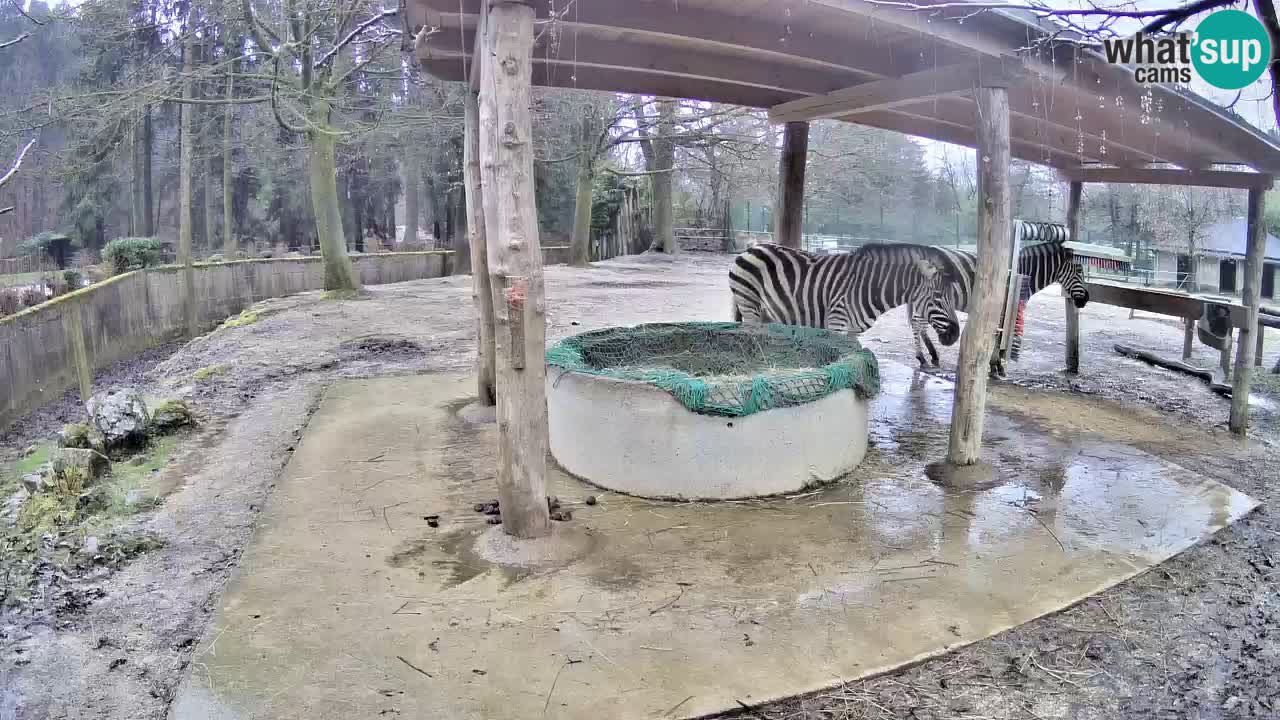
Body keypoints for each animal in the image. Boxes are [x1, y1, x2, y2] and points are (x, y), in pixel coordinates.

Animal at [732, 240, 962, 356]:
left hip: (763, 310)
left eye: (953, 297)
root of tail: (751, 247)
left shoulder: (853, 332)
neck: (870, 286)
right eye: (938, 296)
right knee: (748, 335)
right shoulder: (836, 324)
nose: (955, 336)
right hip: (748, 303)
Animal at [911, 219, 1090, 366]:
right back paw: (923, 357)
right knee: (917, 323)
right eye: (1079, 271)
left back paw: (931, 356)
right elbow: (998, 338)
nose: (1085, 299)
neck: (1022, 271)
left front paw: (994, 365)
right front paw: (996, 366)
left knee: (919, 323)